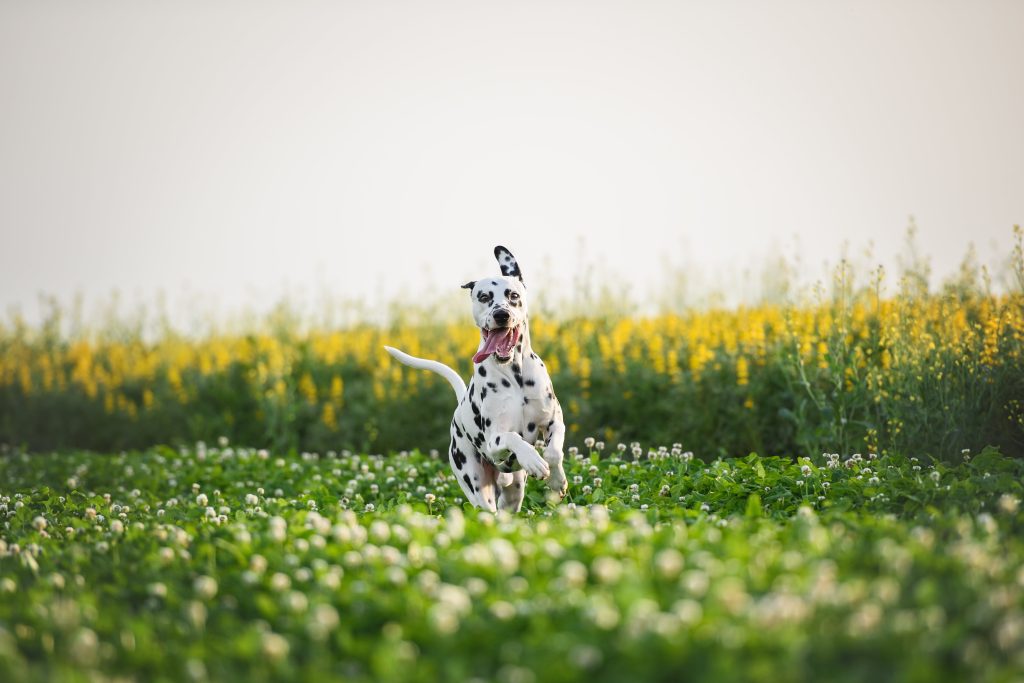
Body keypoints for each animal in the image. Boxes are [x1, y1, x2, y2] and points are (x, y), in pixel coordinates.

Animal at [387, 245, 573, 511]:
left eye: (513, 295)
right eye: (484, 297)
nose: (501, 314)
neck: (515, 375)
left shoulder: (553, 420)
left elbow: (554, 452)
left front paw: (557, 481)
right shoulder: (495, 441)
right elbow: (513, 436)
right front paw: (532, 459)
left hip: (515, 491)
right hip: (477, 487)